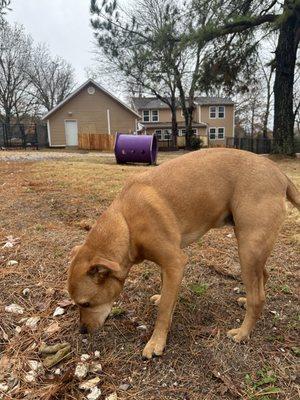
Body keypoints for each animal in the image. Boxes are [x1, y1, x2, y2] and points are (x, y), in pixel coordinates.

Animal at [68, 148, 300, 360]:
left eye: (86, 304)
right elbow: (166, 293)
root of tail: (280, 174)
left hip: (248, 249)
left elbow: (163, 311)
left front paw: (157, 341)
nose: (82, 331)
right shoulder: (168, 265)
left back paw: (243, 333)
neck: (126, 223)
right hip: (253, 251)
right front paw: (163, 298)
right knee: (262, 278)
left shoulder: (175, 262)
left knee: (258, 298)